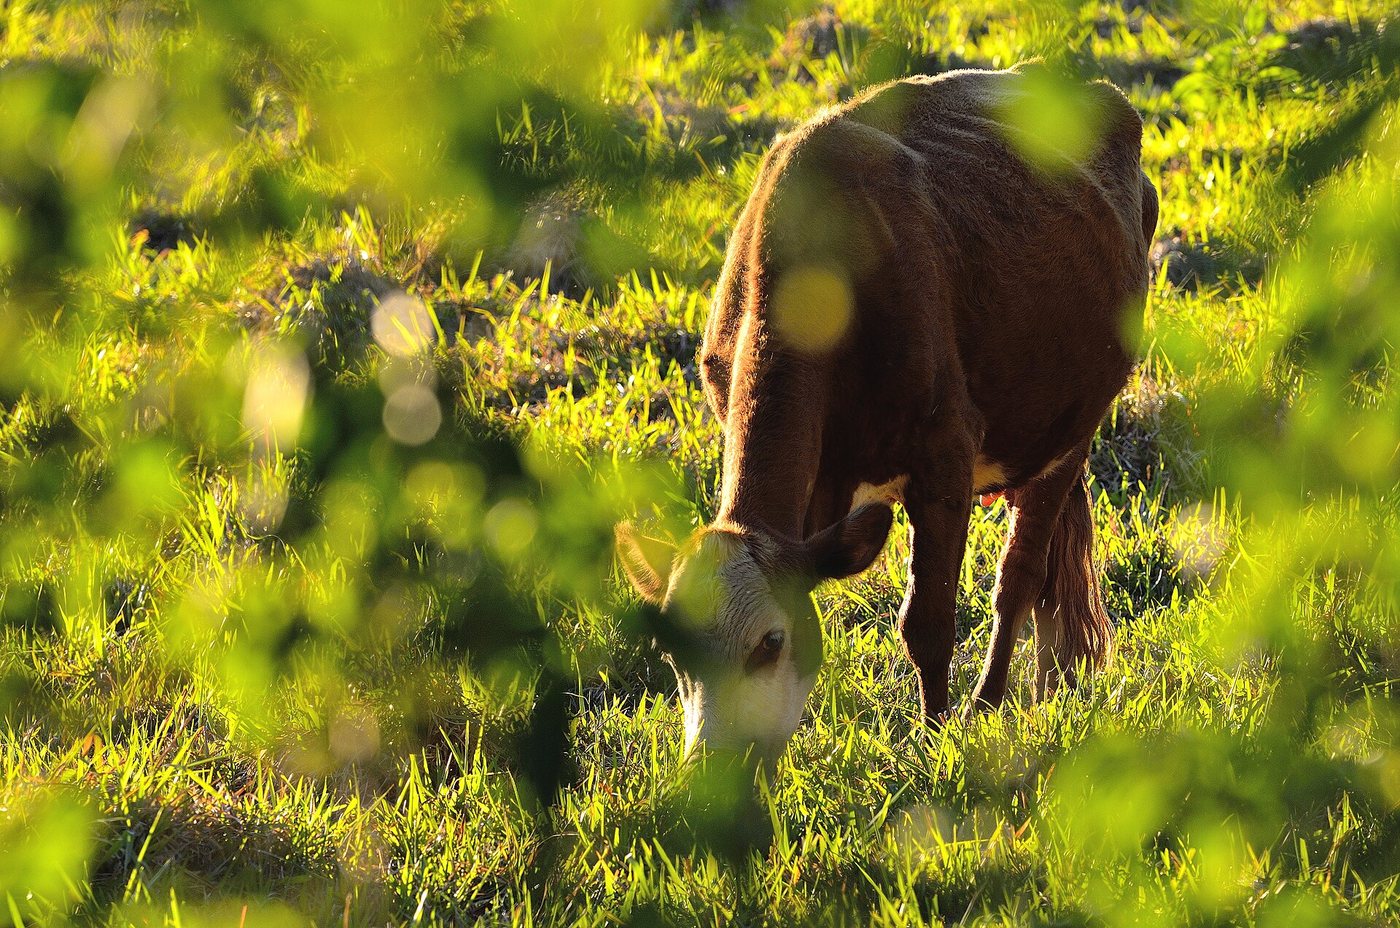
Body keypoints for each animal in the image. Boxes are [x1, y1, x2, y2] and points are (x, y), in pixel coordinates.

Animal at [616, 64, 1158, 764]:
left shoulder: (945, 450)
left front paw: (935, 738)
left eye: (771, 642)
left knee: (1020, 574)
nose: (712, 767)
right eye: (673, 655)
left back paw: (989, 700)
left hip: (1074, 427)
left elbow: (927, 620)